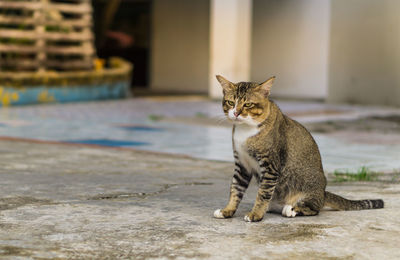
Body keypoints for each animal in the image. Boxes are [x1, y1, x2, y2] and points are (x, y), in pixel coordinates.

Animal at [212, 74, 384, 221]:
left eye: (247, 104)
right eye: (230, 102)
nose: (235, 113)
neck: (246, 130)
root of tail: (323, 193)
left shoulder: (270, 165)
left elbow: (263, 193)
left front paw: (256, 214)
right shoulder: (242, 164)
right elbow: (235, 189)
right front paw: (227, 211)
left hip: (309, 191)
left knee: (314, 209)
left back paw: (292, 209)